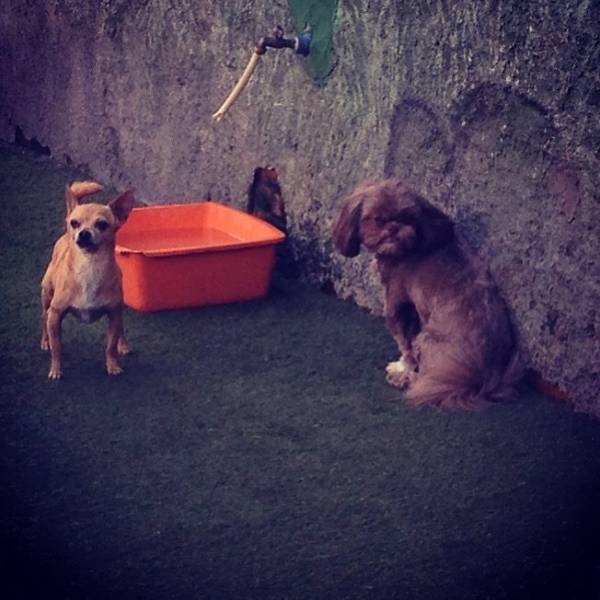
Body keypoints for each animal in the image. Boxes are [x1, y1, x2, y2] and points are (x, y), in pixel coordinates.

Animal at [330, 178, 524, 410]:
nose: (394, 227)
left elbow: (405, 345)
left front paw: (401, 369)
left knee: (424, 375)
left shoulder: (397, 304)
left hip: (427, 339)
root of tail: (483, 382)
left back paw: (408, 380)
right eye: (378, 219)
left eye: (407, 217)